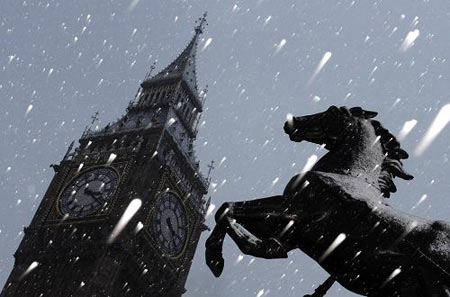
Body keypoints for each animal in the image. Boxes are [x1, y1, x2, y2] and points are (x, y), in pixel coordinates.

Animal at [207, 106, 450, 296]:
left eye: (333, 111)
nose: (292, 122)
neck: (348, 173)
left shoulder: (296, 211)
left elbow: (228, 210)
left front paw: (217, 258)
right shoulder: (289, 227)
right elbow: (229, 210)